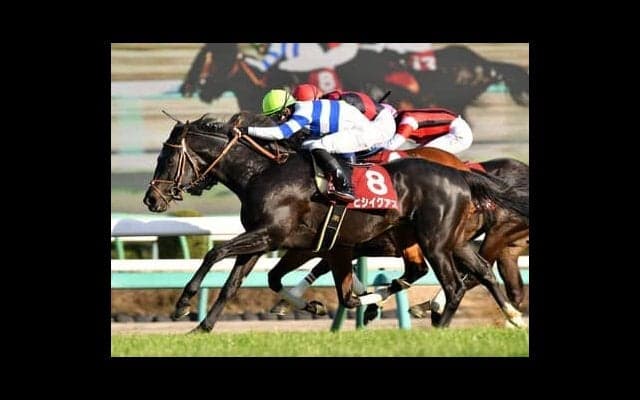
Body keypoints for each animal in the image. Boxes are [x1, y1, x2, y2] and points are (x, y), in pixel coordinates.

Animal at [143, 111, 529, 332]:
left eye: (167, 158)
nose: (151, 199)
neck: (263, 172)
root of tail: (462, 174)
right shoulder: (269, 239)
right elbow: (237, 283)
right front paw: (203, 328)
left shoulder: (274, 235)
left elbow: (215, 253)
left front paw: (183, 304)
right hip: (453, 241)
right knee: (482, 271)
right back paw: (511, 315)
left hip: (434, 243)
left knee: (455, 285)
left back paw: (440, 327)